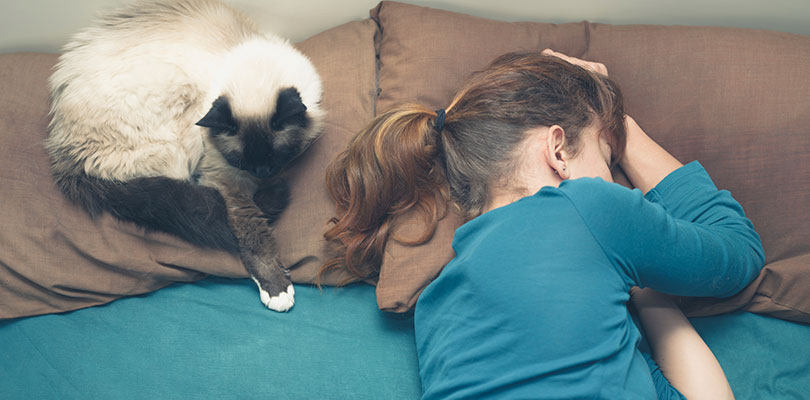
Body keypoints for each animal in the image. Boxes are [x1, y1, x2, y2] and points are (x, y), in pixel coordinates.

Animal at [44, 0, 322, 312]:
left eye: (278, 157)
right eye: (240, 161)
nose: (262, 175)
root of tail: (65, 157)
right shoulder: (227, 180)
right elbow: (252, 233)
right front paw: (277, 290)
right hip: (179, 122)